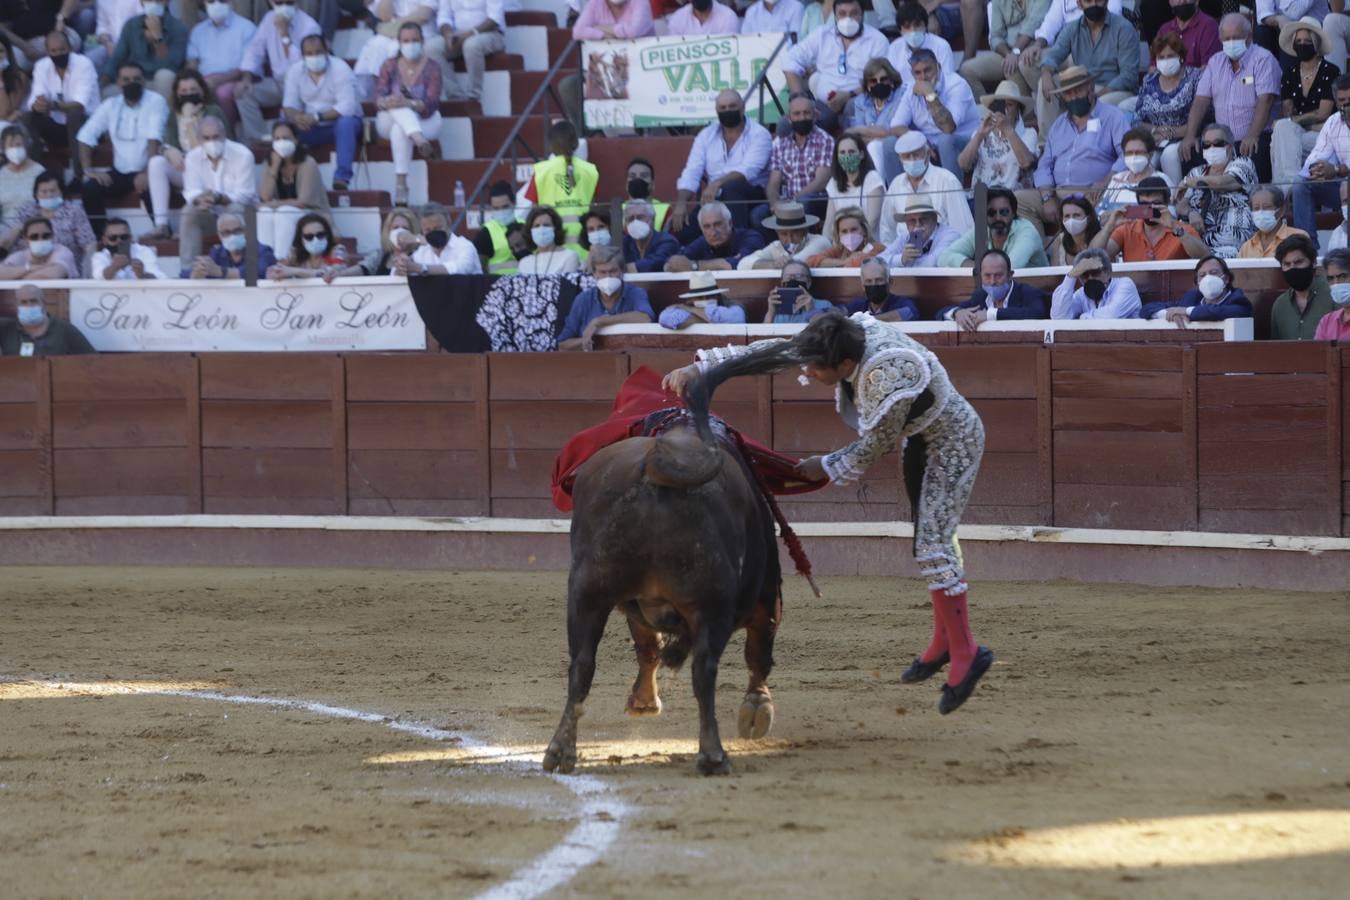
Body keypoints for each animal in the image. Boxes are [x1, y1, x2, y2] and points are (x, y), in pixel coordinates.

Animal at [542, 415, 788, 777]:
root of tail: (654, 466)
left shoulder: (636, 603)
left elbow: (647, 648)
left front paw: (642, 700)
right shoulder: (767, 598)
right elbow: (758, 654)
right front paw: (758, 708)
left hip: (587, 594)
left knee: (582, 666)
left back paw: (561, 751)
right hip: (710, 603)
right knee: (704, 670)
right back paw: (713, 755)